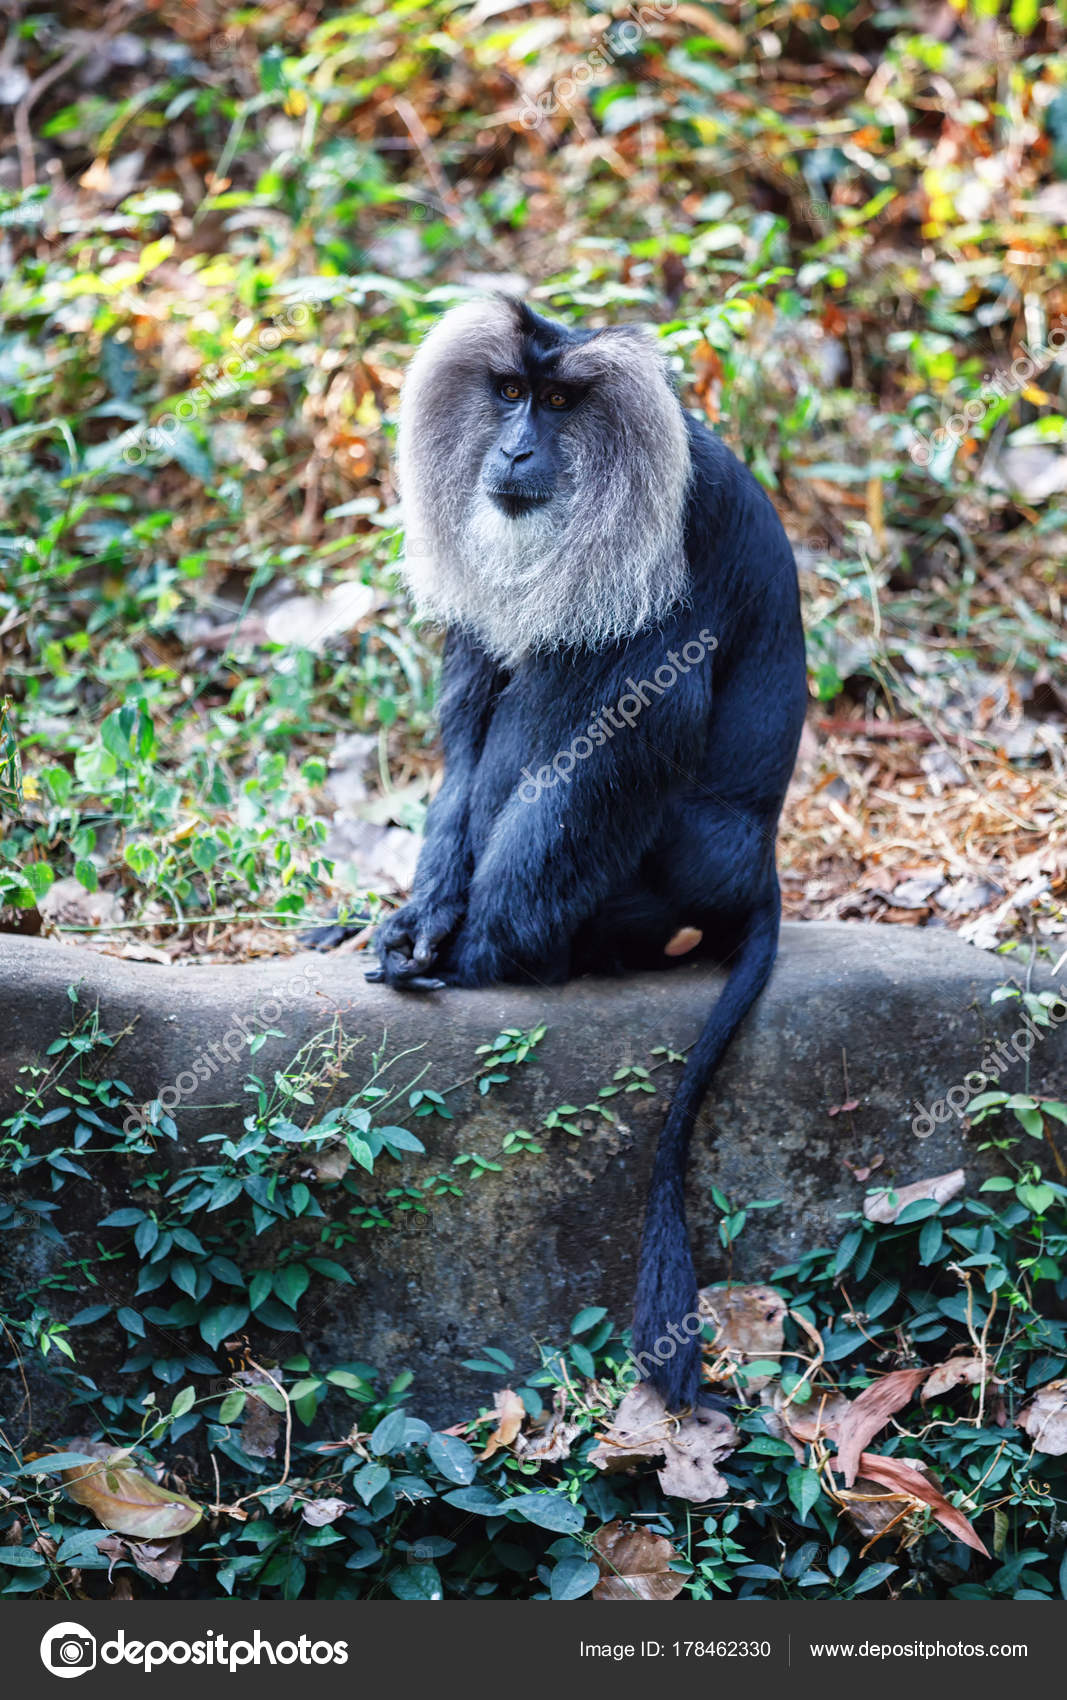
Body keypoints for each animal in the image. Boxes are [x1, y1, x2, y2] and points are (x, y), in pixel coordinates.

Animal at [314, 295, 807, 1411]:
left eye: (561, 404)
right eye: (507, 393)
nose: (514, 448)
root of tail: (755, 868)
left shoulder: (680, 527)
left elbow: (639, 712)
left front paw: (472, 952)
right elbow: (473, 699)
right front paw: (416, 917)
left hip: (665, 880)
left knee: (573, 680)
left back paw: (520, 950)